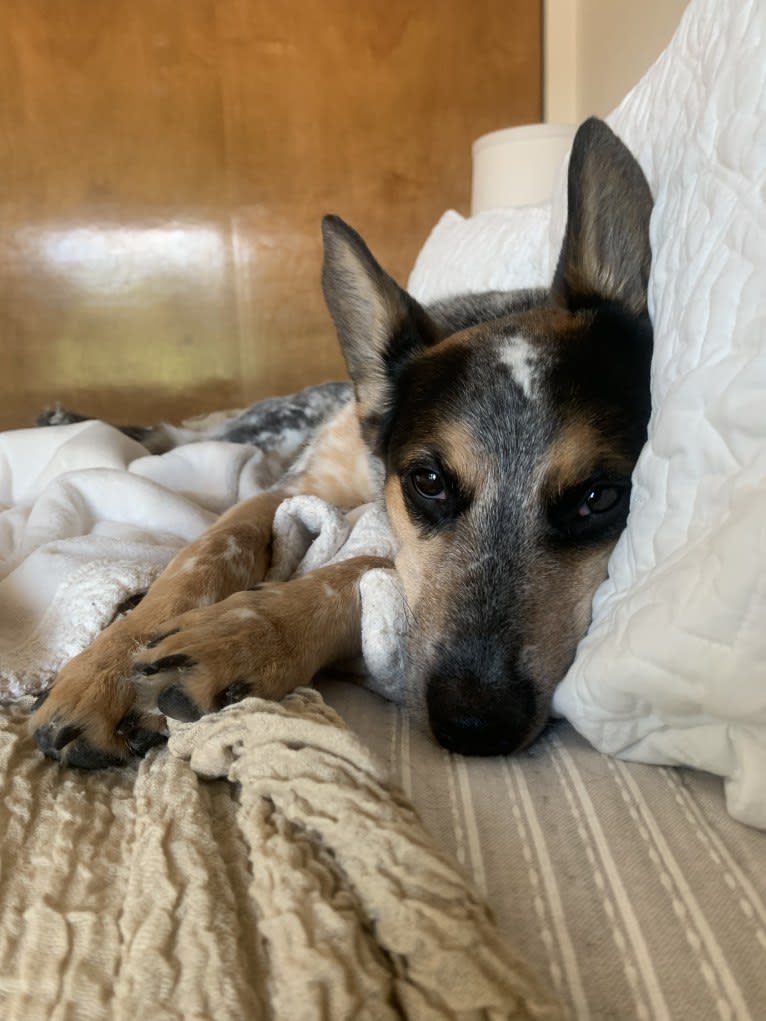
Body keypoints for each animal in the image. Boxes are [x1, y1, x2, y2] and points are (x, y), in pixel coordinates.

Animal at [30, 115, 653, 763]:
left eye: (600, 498)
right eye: (428, 481)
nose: (474, 724)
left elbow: (360, 567)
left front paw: (243, 635)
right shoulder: (288, 489)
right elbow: (204, 555)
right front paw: (105, 667)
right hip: (265, 424)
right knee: (188, 430)